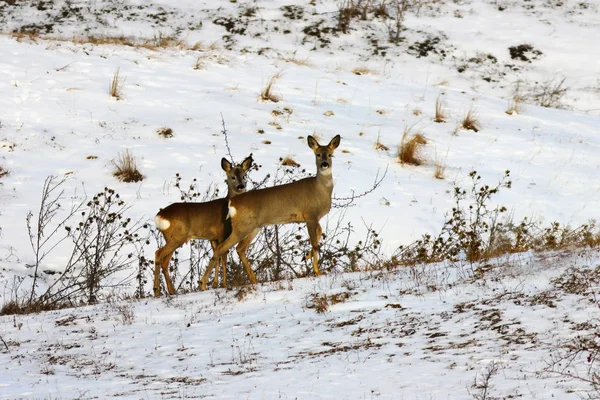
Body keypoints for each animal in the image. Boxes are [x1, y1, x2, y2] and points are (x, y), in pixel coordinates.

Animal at [152, 155, 255, 296]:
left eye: (244, 176)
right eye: (232, 177)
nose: (241, 186)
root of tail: (159, 216)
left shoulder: (213, 238)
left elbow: (217, 258)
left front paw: (215, 284)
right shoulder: (223, 232)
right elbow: (223, 257)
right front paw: (223, 284)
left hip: (172, 238)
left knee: (164, 261)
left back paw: (171, 291)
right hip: (177, 237)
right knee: (158, 253)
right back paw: (157, 291)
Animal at [200, 135, 342, 290]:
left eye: (330, 154)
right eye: (318, 154)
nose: (324, 164)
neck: (319, 190)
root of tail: (232, 202)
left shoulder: (312, 218)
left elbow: (320, 233)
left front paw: (306, 256)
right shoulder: (310, 215)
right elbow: (315, 243)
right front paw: (317, 271)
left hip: (254, 227)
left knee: (239, 248)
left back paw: (254, 280)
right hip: (242, 227)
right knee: (221, 248)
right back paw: (203, 284)